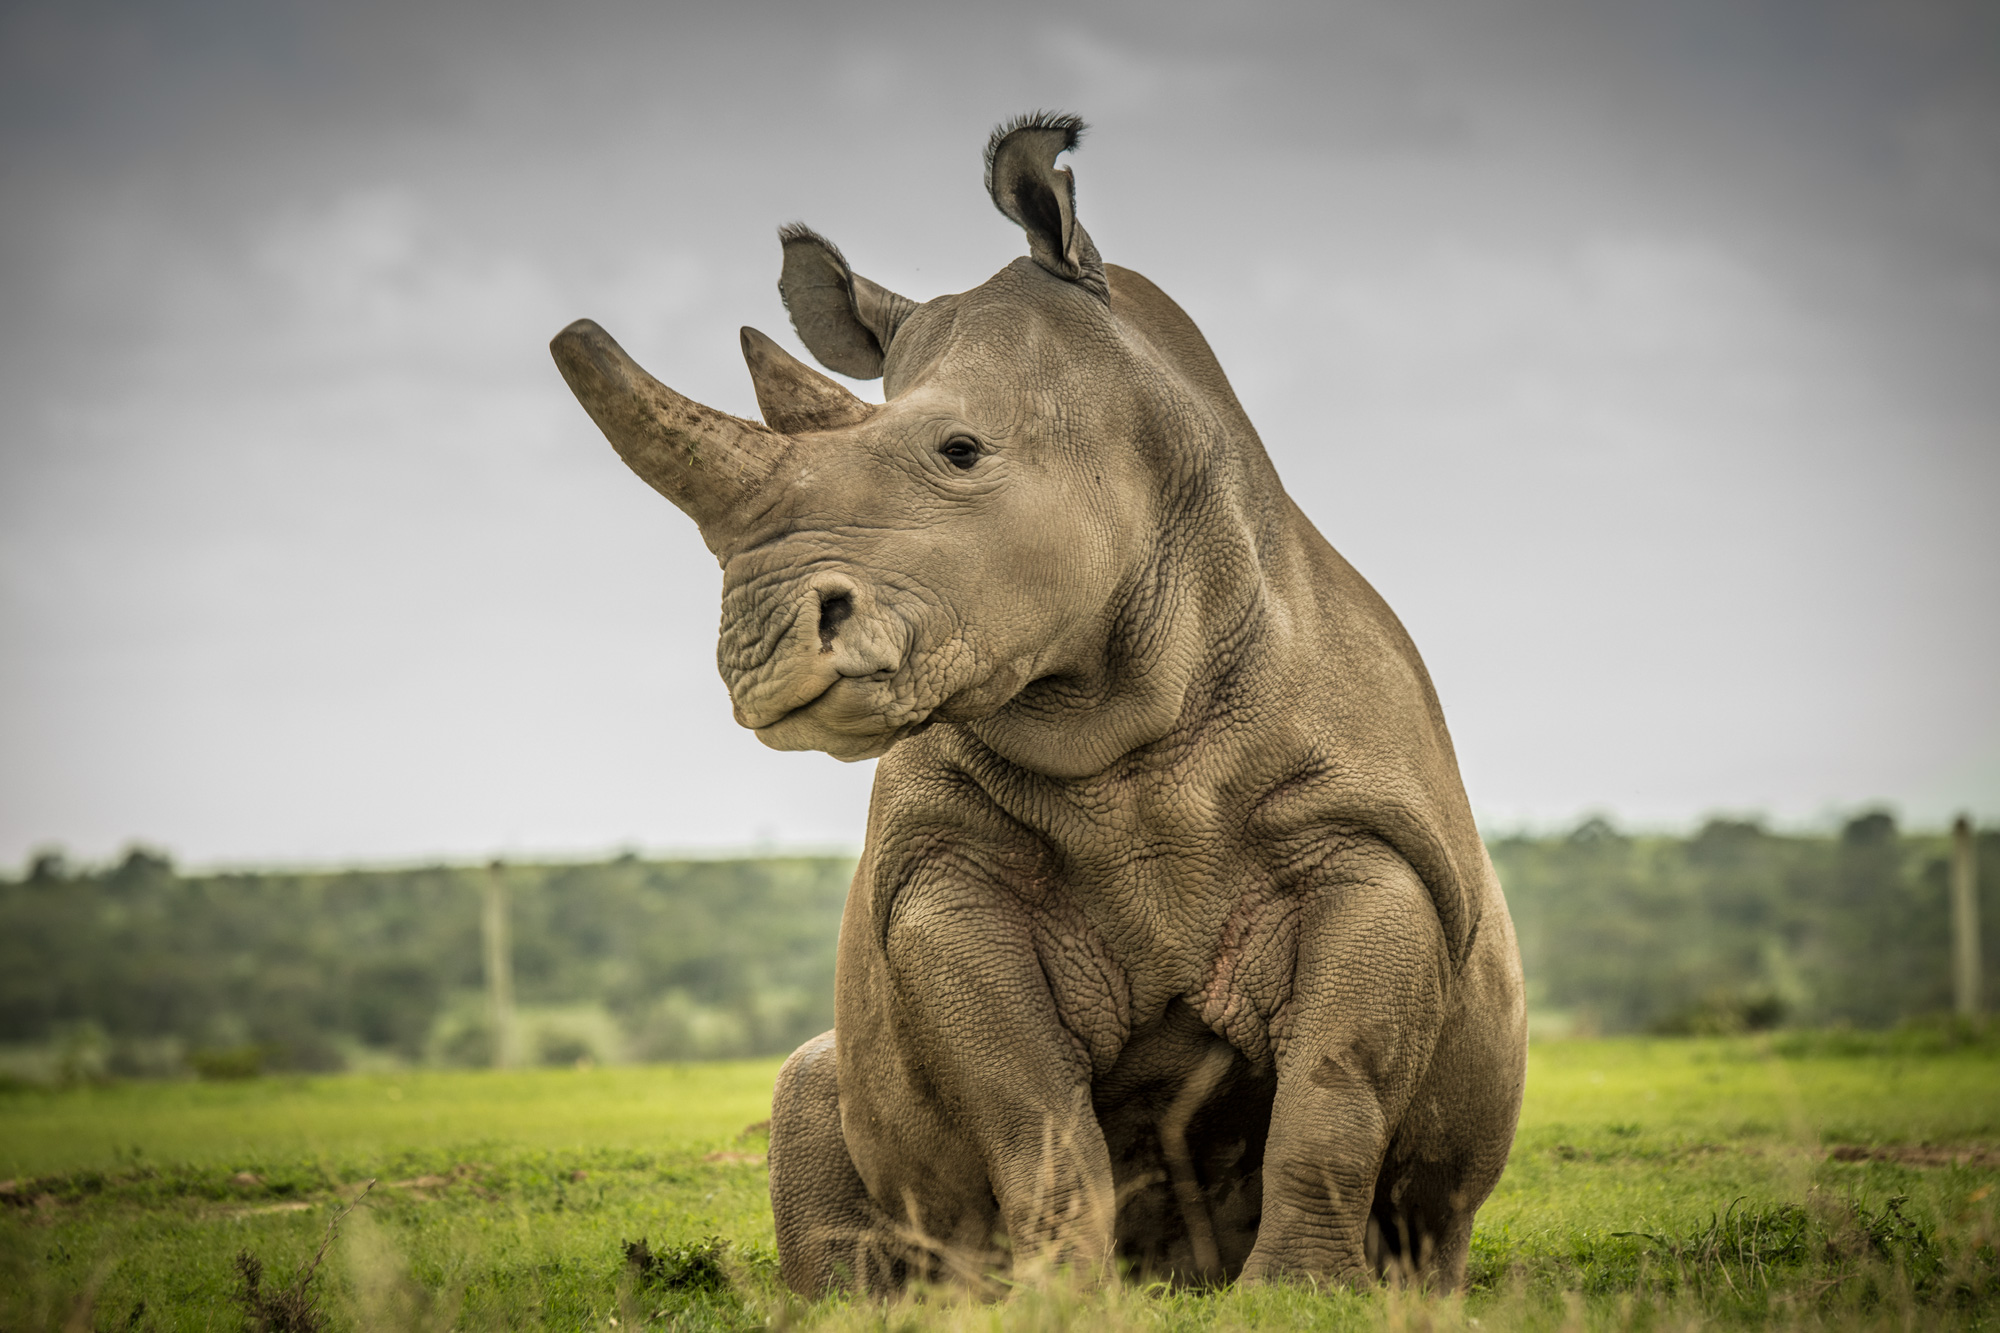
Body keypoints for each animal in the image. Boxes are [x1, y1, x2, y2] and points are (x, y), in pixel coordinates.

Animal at [556, 111, 1520, 1288]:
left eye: (960, 450)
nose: (759, 646)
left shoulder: (1374, 846)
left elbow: (1332, 1087)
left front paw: (1300, 1291)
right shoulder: (941, 873)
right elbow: (1030, 1108)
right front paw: (1062, 1293)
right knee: (809, 1082)